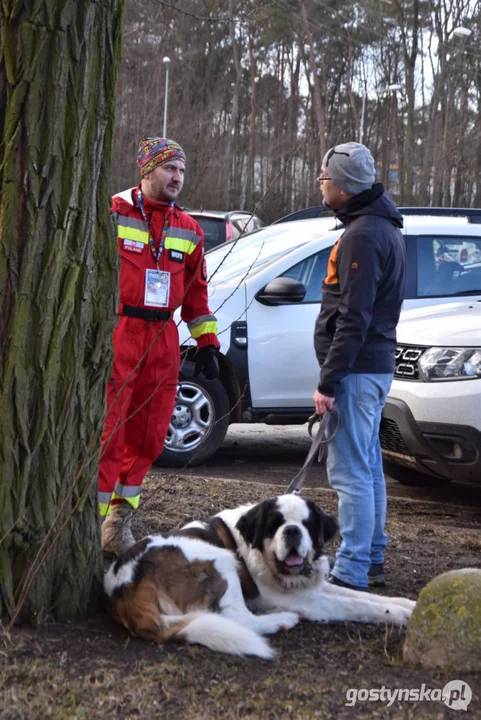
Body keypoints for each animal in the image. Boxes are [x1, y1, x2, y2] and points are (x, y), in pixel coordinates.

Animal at [103, 496, 414, 660]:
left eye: (306, 524)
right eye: (276, 524)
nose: (292, 531)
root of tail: (125, 585)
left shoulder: (312, 588)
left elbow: (361, 595)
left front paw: (407, 604)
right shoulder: (302, 600)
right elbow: (355, 605)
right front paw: (400, 616)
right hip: (220, 558)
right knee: (240, 619)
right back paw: (282, 620)